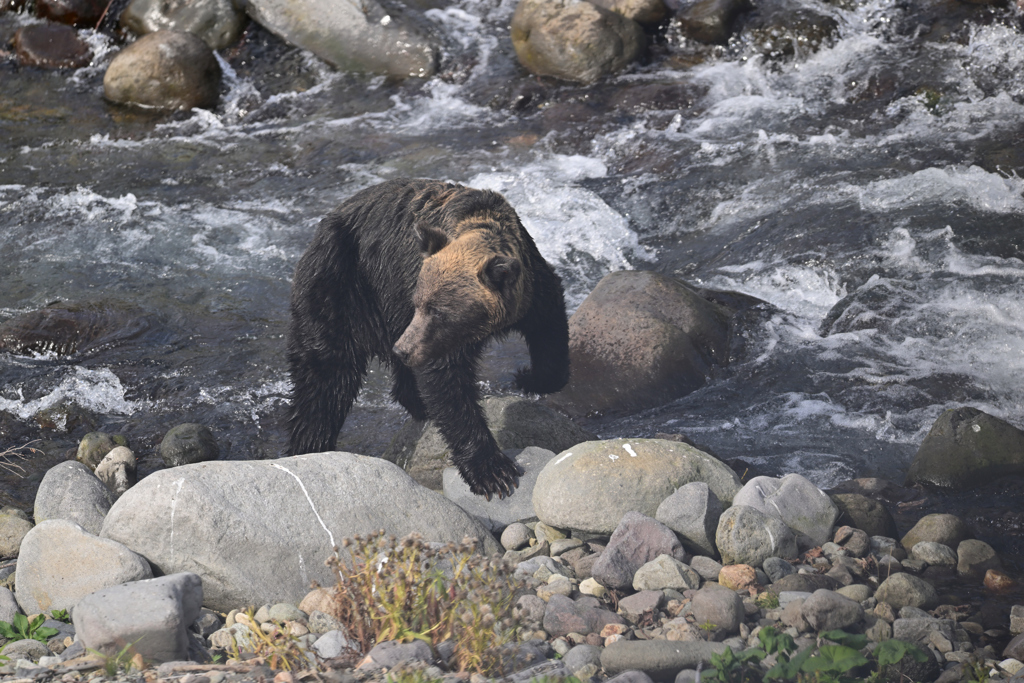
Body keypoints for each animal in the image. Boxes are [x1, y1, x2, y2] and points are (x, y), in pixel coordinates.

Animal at [286, 178, 569, 497]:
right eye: (419, 303)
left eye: (437, 310)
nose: (403, 349)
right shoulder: (425, 316)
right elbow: (447, 384)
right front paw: (494, 471)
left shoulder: (532, 288)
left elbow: (550, 332)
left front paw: (528, 377)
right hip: (338, 286)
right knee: (325, 378)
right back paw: (311, 446)